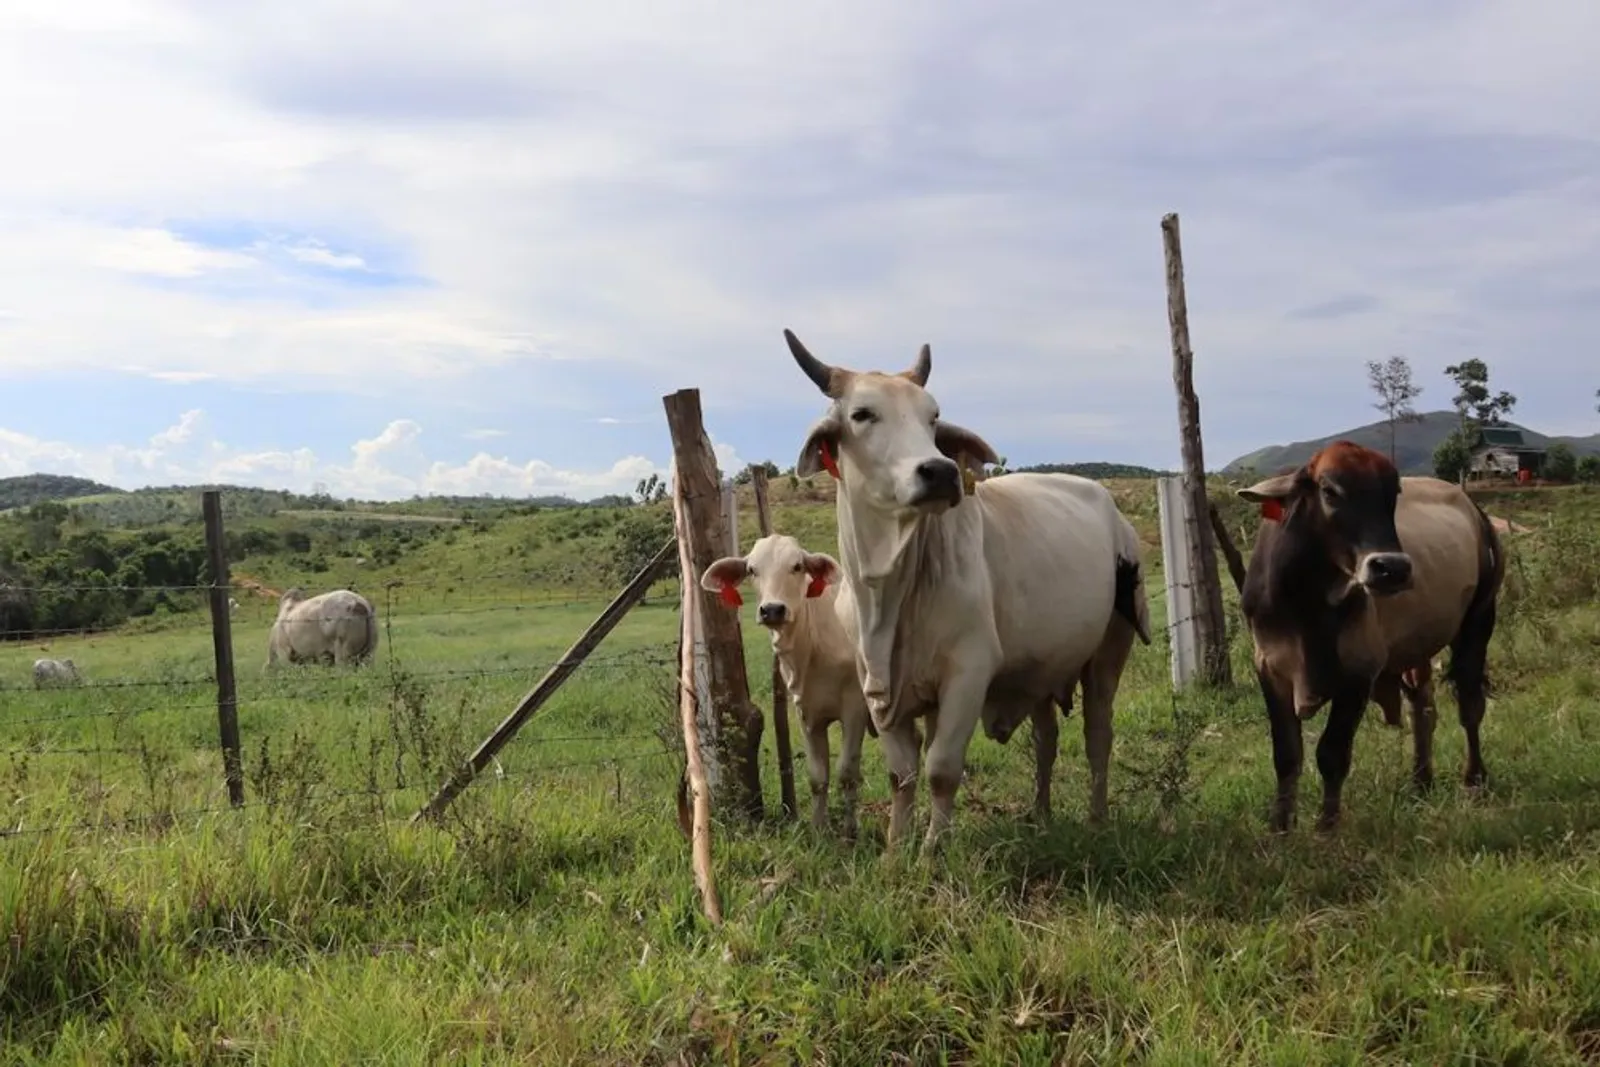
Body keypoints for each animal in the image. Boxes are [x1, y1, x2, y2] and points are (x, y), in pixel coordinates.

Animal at [704, 537, 876, 838]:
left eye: (797, 566)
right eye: (752, 570)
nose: (772, 609)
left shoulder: (855, 709)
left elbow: (846, 774)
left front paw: (850, 833)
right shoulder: (806, 713)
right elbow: (818, 776)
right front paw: (818, 830)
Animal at [777, 329, 1152, 857]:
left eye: (933, 416)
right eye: (862, 413)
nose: (940, 472)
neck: (888, 592)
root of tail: (1115, 515)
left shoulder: (968, 672)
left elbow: (940, 769)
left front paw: (933, 850)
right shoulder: (876, 688)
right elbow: (901, 774)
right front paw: (896, 849)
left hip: (1108, 651)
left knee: (1098, 733)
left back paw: (1096, 818)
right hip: (1041, 667)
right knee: (1047, 738)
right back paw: (1041, 815)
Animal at [1235, 441, 1497, 831]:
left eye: (1394, 493)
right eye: (1329, 491)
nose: (1393, 568)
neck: (1305, 598)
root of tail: (1474, 510)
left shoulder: (1359, 671)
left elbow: (1331, 754)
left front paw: (1326, 827)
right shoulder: (1270, 667)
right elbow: (1286, 754)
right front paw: (1280, 827)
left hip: (1479, 623)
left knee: (1469, 705)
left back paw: (1473, 780)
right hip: (1415, 651)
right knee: (1423, 708)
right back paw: (1421, 781)